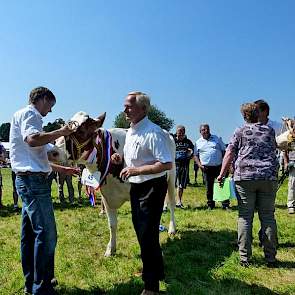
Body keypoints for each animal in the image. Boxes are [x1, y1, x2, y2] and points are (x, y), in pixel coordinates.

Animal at [55, 111, 176, 256]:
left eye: (81, 130)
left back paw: (172, 229)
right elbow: (112, 224)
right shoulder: (107, 197)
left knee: (171, 203)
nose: (53, 151)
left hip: (172, 176)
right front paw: (110, 249)